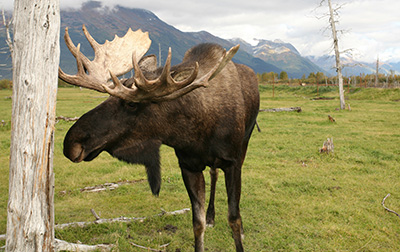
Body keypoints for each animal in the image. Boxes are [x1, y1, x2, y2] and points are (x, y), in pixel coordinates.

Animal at [59, 24, 260, 252]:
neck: (198, 132)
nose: (71, 142)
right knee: (213, 173)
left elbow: (234, 218)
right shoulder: (188, 165)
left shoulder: (231, 162)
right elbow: (197, 223)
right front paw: (205, 220)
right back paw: (211, 215)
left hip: (245, 141)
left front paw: (239, 230)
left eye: (131, 104)